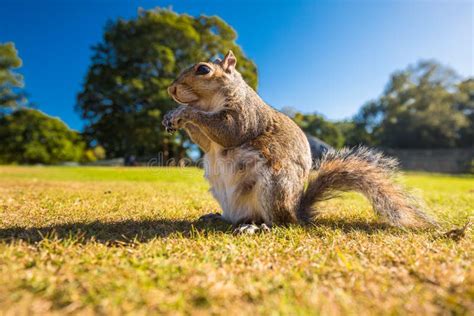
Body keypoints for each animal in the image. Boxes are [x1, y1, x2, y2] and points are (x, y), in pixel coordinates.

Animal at [164, 50, 436, 233]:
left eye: (203, 70)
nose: (171, 90)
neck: (208, 102)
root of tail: (296, 211)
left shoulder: (245, 116)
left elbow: (228, 131)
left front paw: (184, 112)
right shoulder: (208, 139)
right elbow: (205, 141)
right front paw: (172, 115)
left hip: (274, 187)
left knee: (279, 222)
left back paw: (257, 228)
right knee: (239, 218)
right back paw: (218, 218)